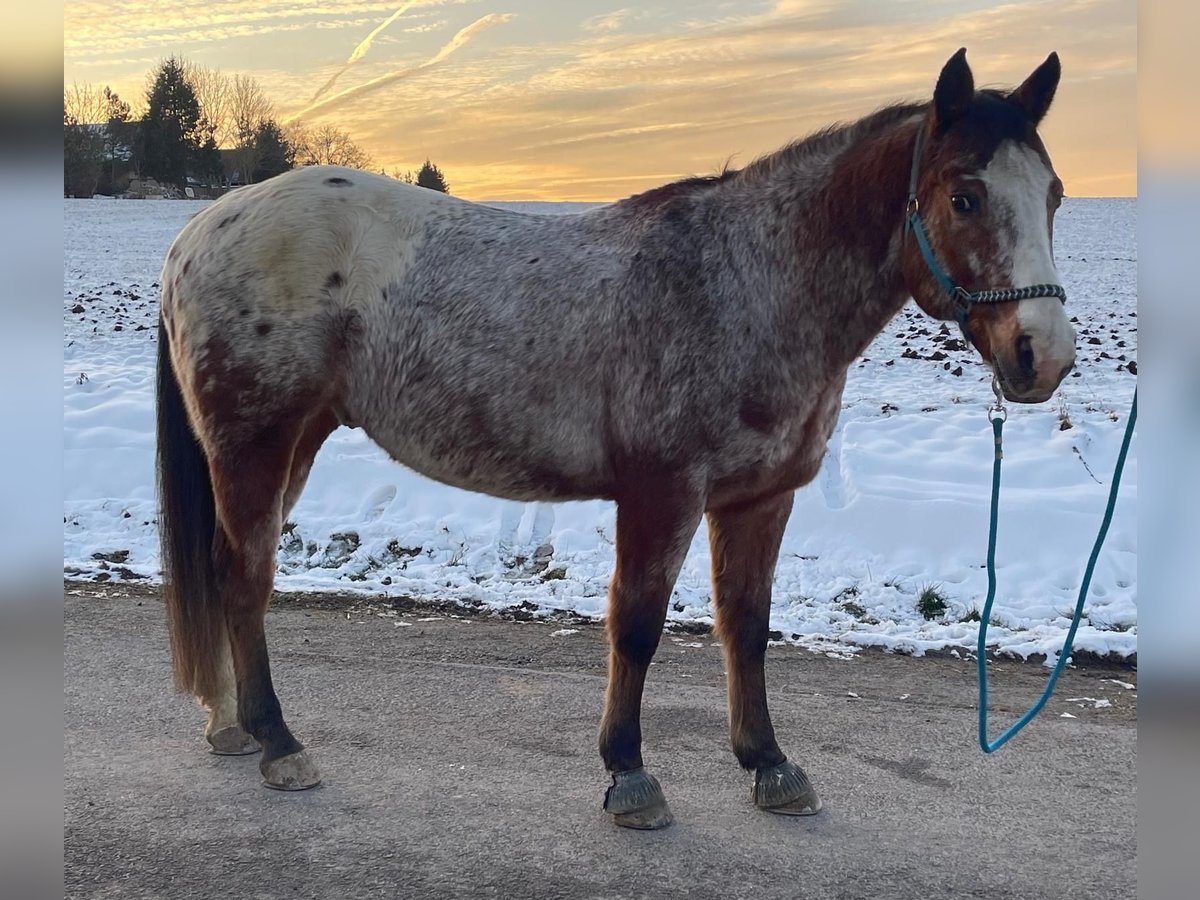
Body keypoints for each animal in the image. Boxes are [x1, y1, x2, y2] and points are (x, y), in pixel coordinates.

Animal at [157, 51, 1080, 830]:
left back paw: (231, 728)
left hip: (295, 442)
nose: (1043, 355)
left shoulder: (759, 499)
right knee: (244, 578)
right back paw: (278, 742)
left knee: (229, 570)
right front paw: (630, 775)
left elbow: (747, 626)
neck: (745, 282)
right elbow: (635, 627)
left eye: (1055, 195)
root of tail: (200, 232)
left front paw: (768, 764)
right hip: (256, 444)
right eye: (965, 196)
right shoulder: (661, 495)